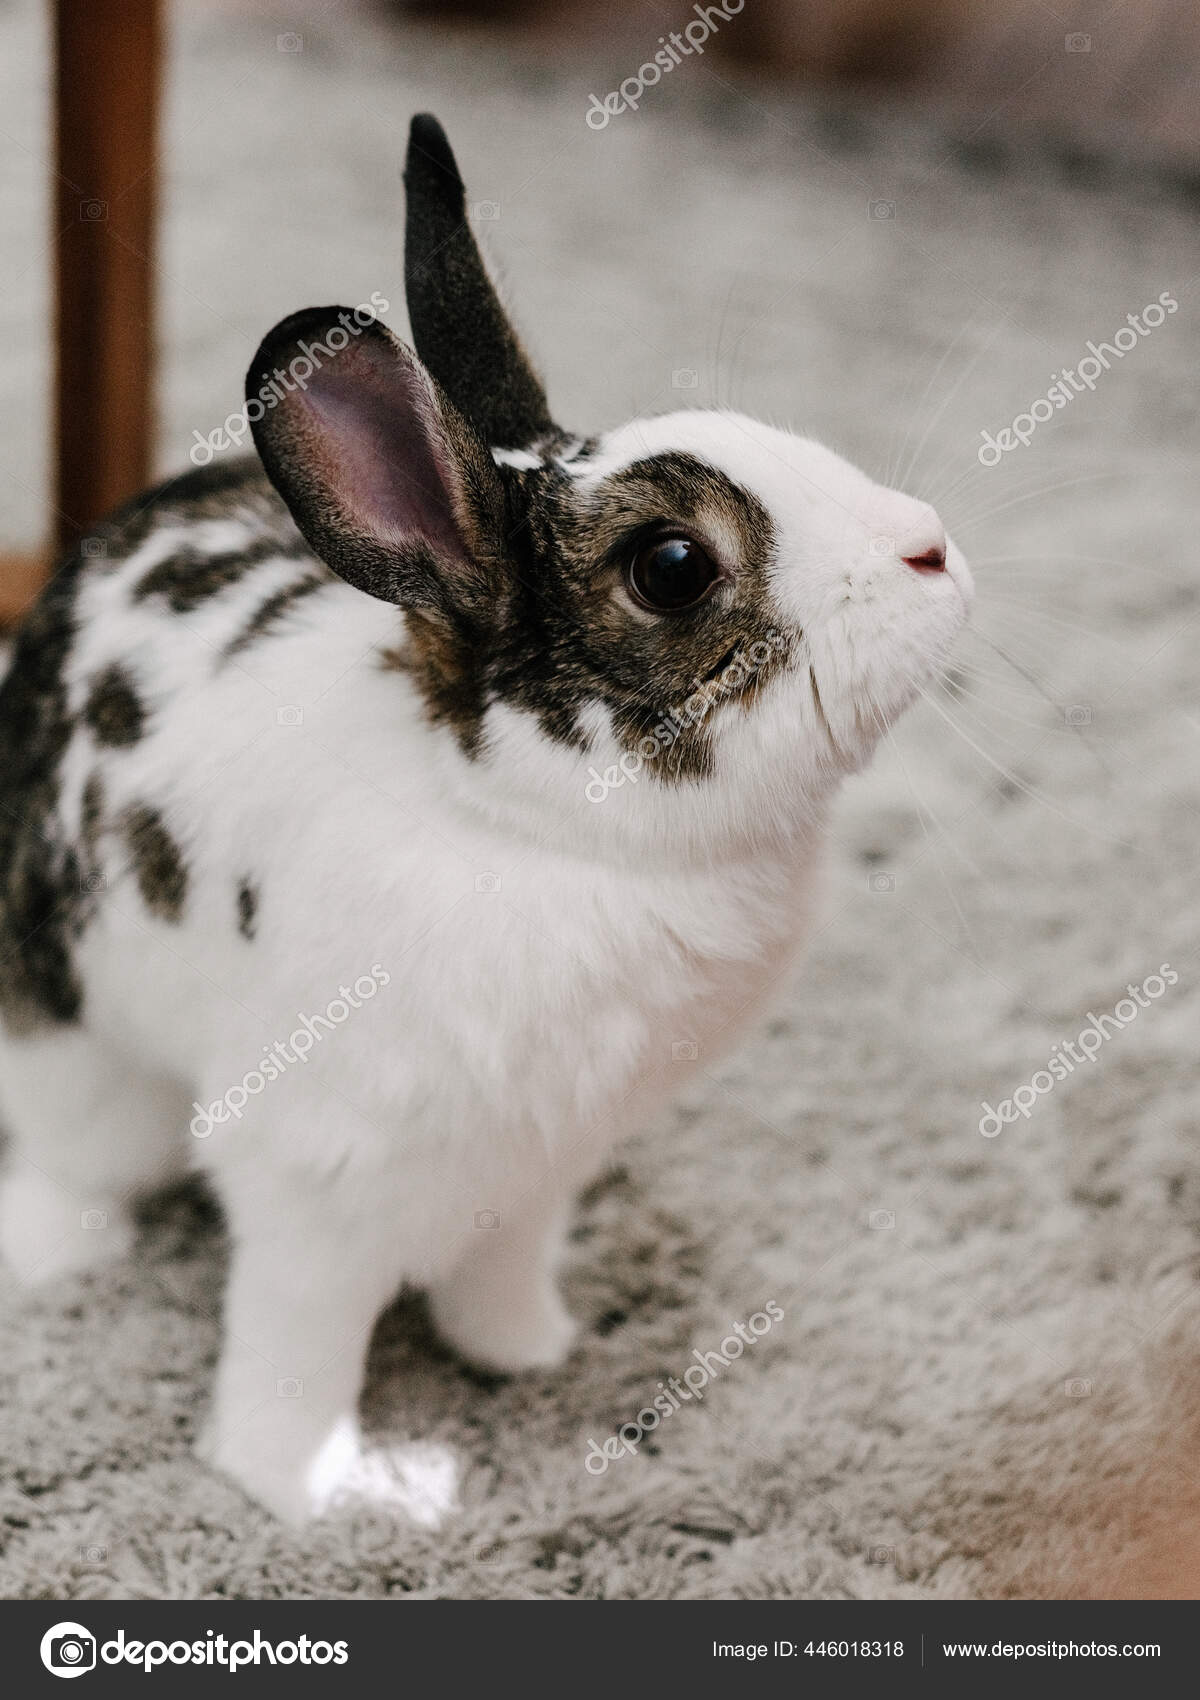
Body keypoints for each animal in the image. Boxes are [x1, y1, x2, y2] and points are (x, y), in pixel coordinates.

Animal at [0, 113, 972, 1525]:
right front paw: (301, 1489)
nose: (932, 546)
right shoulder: (315, 1180)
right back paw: (54, 1263)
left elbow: (503, 1266)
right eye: (671, 566)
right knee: (66, 1153)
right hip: (76, 1040)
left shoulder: (536, 1171)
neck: (542, 836)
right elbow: (299, 1341)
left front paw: (525, 1352)